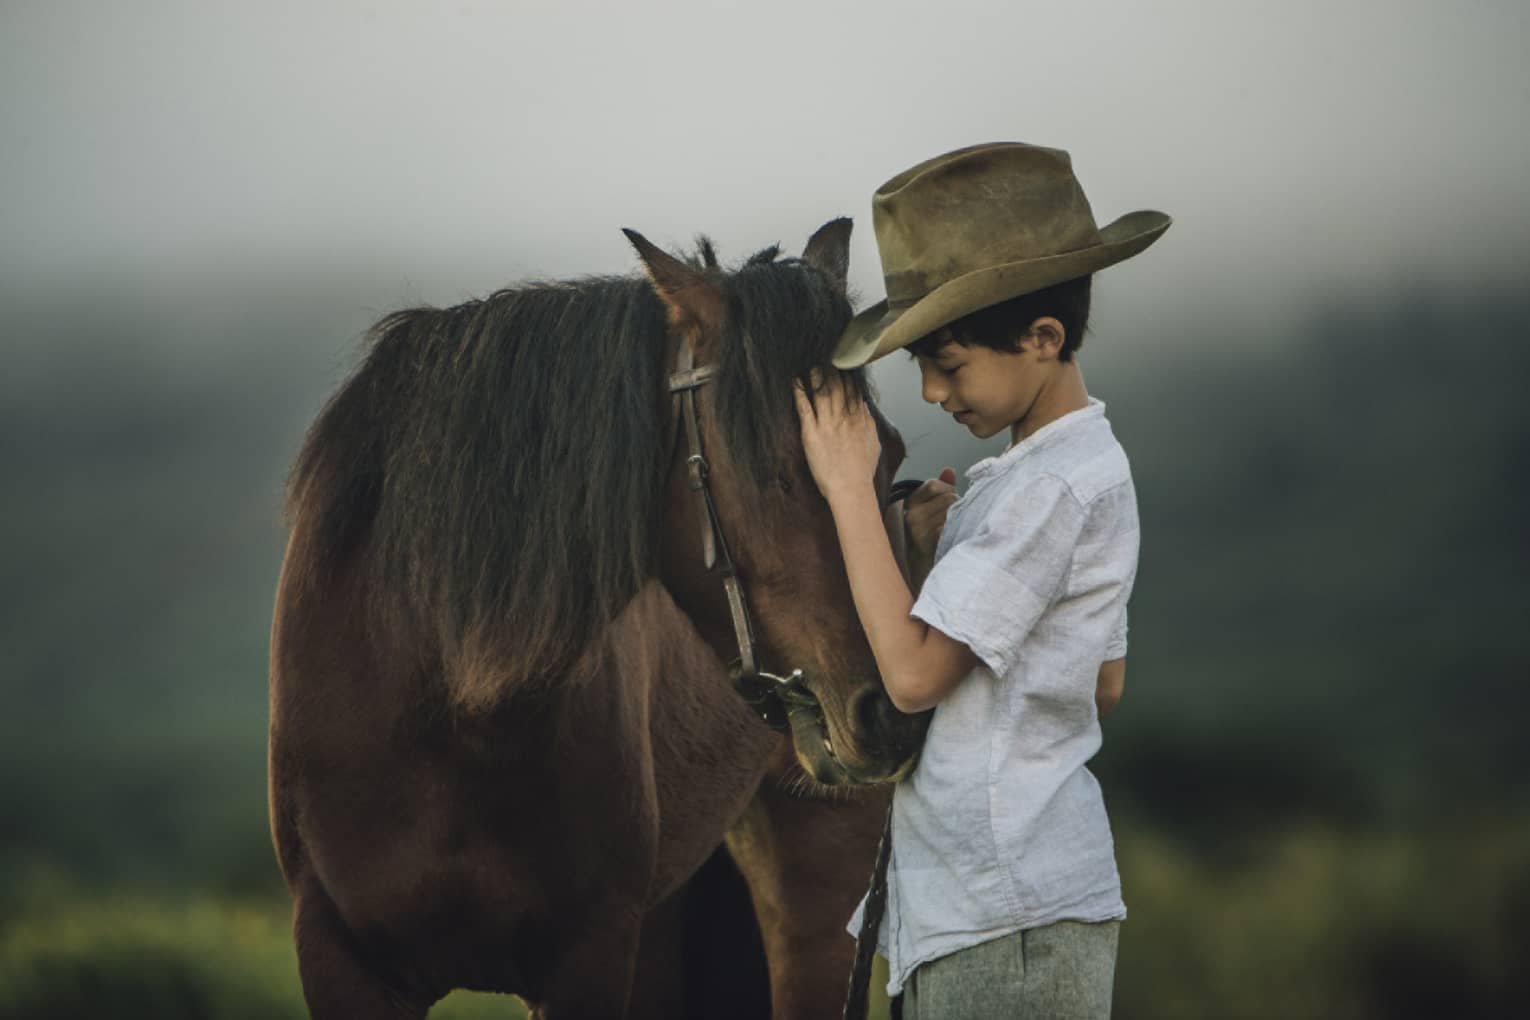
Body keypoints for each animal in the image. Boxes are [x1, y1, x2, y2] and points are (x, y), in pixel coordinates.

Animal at [269, 220, 924, 1015]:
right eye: (772, 468)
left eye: (889, 455)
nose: (893, 710)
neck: (441, 696)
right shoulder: (341, 962)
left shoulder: (589, 957)